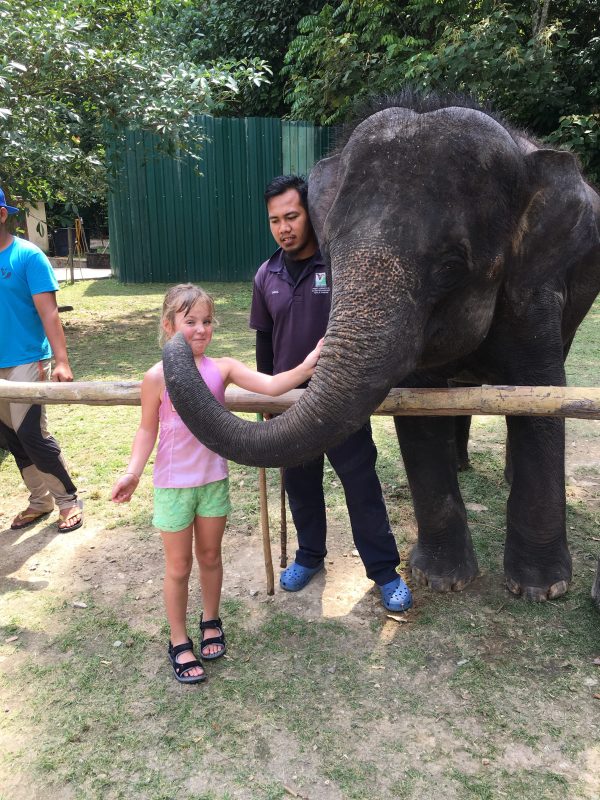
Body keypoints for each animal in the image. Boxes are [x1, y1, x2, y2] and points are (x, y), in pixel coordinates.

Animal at [164, 91, 600, 603]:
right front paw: (442, 580)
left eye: (451, 267)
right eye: (329, 254)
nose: (183, 327)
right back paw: (461, 464)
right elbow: (419, 412)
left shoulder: (534, 290)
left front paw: (540, 590)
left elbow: (539, 398)